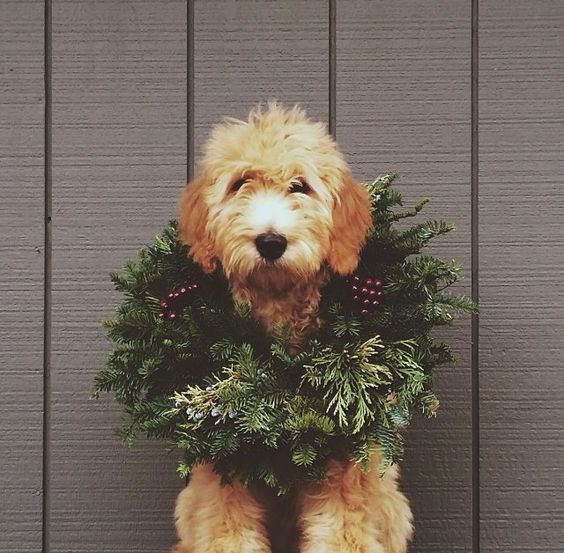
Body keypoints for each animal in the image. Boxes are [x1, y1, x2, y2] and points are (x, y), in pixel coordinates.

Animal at [171, 103, 410, 552]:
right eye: (239, 184)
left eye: (300, 186)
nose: (270, 242)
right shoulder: (223, 468)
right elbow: (228, 534)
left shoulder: (345, 469)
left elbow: (342, 536)